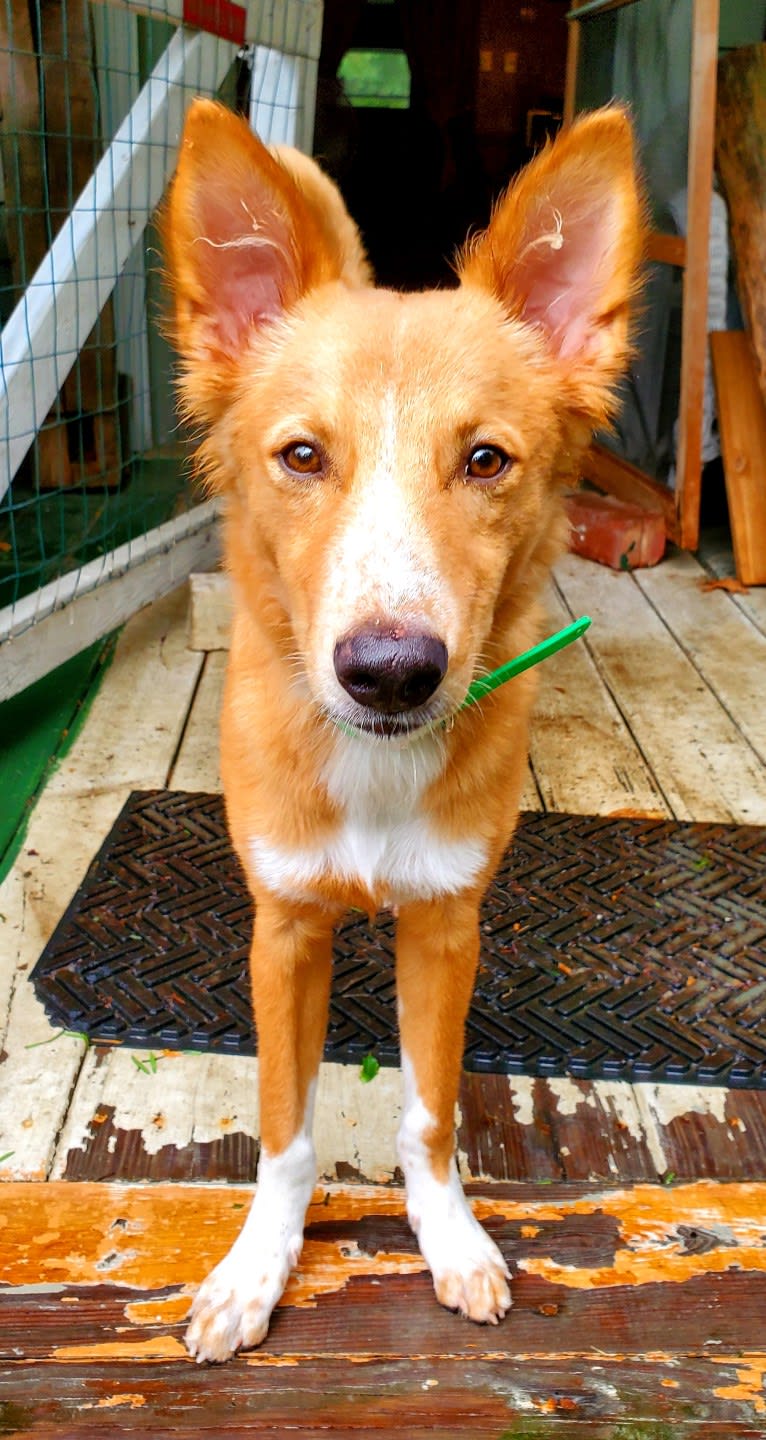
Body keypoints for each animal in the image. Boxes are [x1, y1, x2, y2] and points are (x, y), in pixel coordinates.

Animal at [164, 101, 642, 1359]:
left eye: (485, 460)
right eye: (301, 455)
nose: (389, 674)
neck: (373, 776)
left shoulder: (445, 925)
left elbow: (428, 1117)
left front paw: (451, 1237)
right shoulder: (283, 930)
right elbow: (284, 1130)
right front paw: (257, 1268)